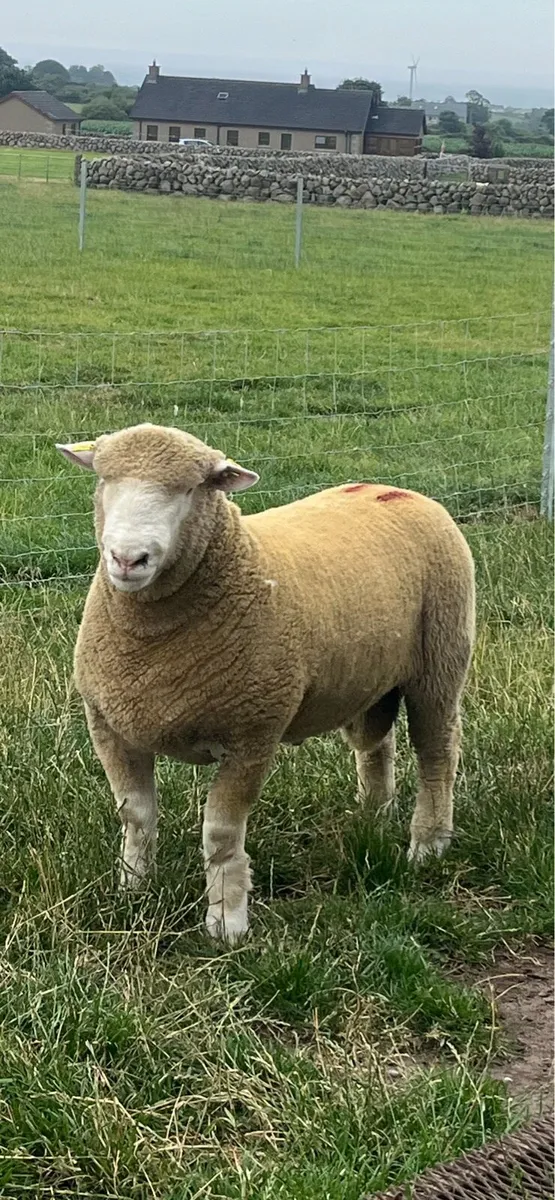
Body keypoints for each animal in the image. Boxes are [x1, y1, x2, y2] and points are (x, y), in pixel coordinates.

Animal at [56, 423, 475, 943]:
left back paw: (428, 845)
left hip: (440, 659)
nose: (128, 558)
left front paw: (226, 921)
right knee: (376, 745)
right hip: (368, 677)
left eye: (192, 488)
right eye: (103, 480)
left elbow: (220, 834)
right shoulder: (109, 725)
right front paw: (133, 887)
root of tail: (399, 491)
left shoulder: (252, 735)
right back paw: (373, 818)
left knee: (437, 752)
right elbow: (134, 815)